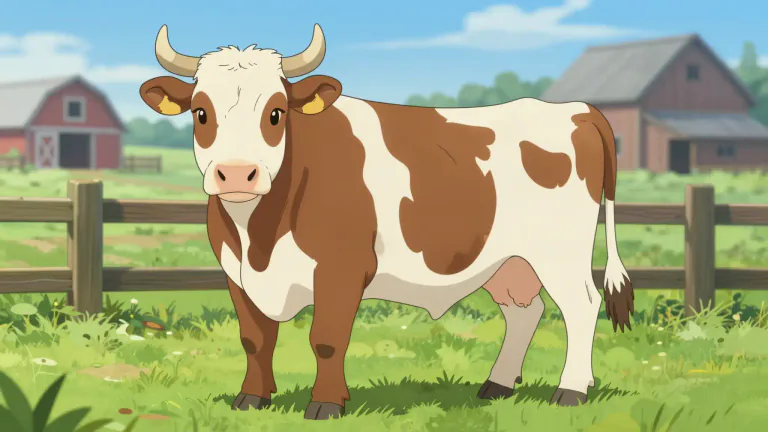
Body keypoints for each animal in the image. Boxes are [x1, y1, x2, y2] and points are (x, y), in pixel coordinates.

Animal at [139, 23, 634, 420]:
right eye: (201, 112)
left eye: (276, 112)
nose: (237, 174)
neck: (258, 238)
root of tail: (574, 109)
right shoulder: (235, 272)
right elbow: (254, 338)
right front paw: (251, 400)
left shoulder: (341, 268)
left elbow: (327, 339)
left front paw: (326, 404)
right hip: (508, 260)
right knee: (524, 312)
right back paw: (496, 385)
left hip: (559, 250)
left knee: (581, 305)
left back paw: (570, 391)